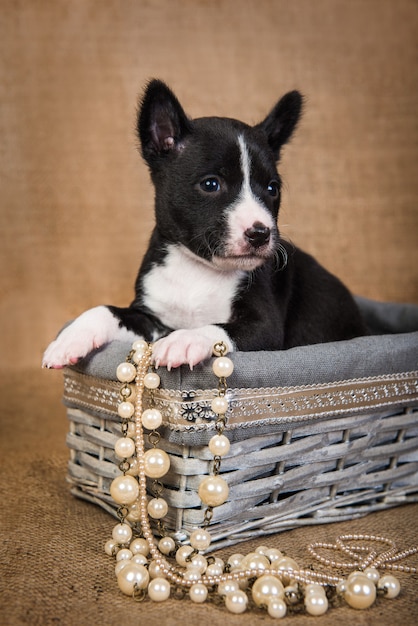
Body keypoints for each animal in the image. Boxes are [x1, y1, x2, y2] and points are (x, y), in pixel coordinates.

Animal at [43, 78, 366, 370]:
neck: (198, 271)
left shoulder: (265, 326)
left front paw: (184, 340)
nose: (260, 233)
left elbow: (218, 327)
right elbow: (107, 309)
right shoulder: (152, 316)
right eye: (211, 184)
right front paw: (70, 338)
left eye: (272, 189)